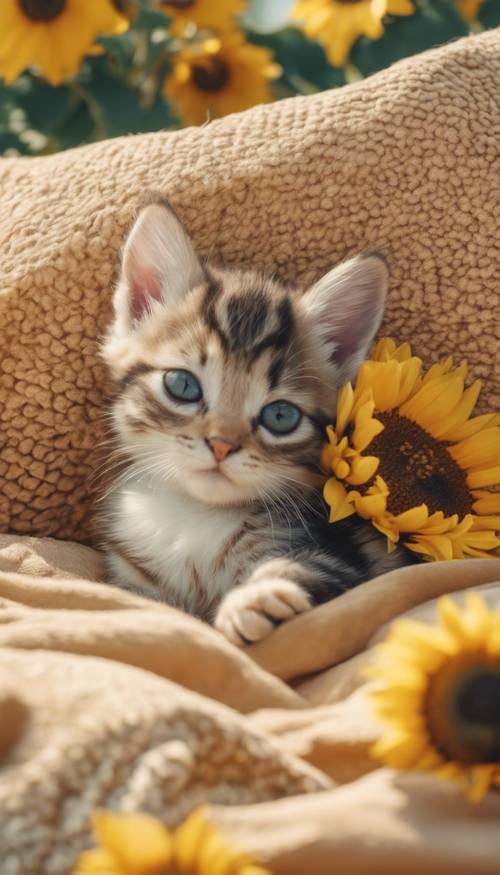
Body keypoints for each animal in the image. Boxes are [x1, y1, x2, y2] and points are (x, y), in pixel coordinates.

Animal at [96, 200, 406, 652]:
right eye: (182, 385)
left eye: (280, 416)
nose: (222, 444)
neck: (196, 515)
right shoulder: (132, 572)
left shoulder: (339, 555)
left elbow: (307, 570)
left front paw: (258, 599)